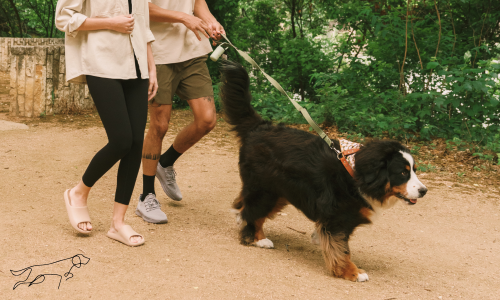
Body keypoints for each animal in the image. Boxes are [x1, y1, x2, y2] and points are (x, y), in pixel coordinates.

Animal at [221, 60, 428, 282]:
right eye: (403, 173)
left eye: (414, 170)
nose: (424, 191)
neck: (355, 175)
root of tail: (259, 127)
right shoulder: (336, 217)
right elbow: (341, 249)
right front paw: (351, 272)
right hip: (266, 189)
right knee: (252, 211)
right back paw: (255, 238)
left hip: (279, 191)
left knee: (244, 204)